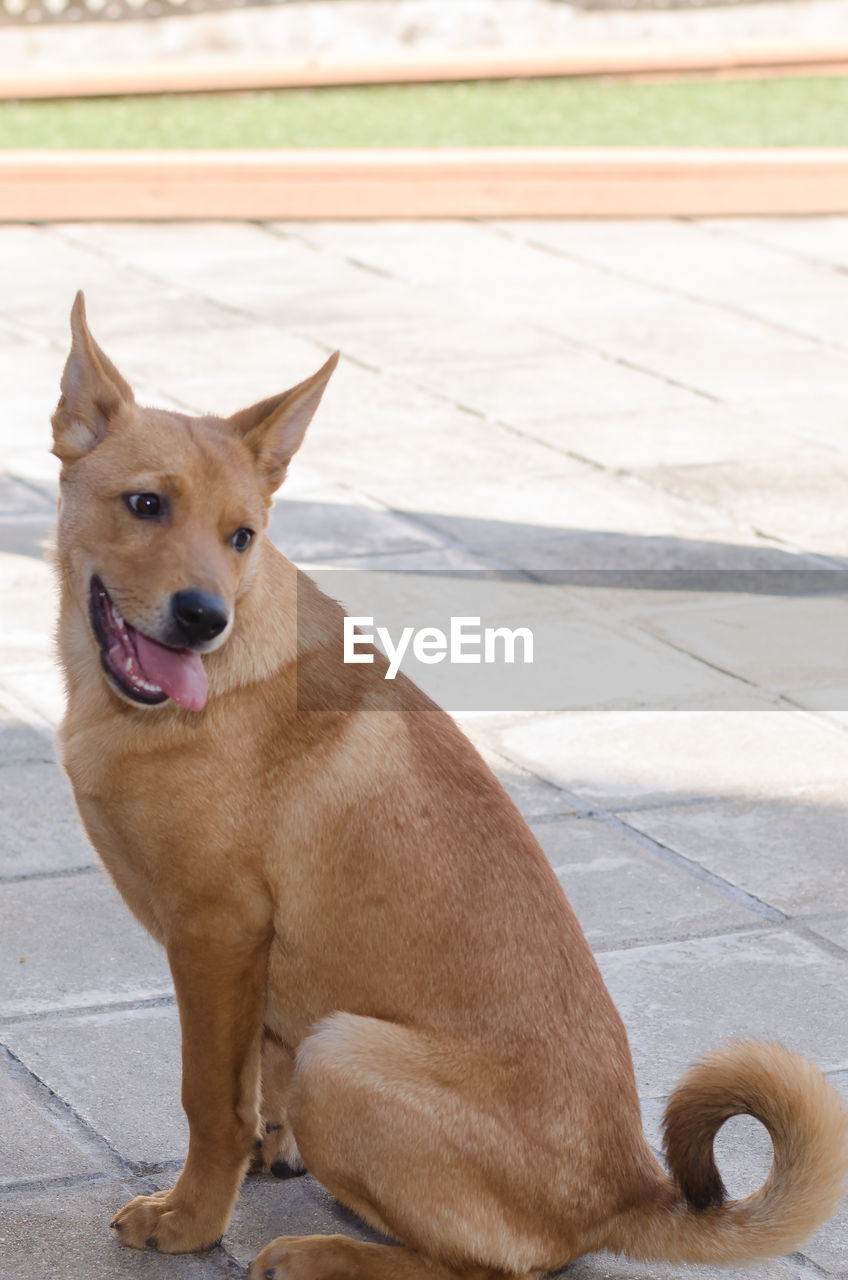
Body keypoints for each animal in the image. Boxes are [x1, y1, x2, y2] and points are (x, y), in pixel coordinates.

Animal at [53, 293, 848, 1280]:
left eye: (243, 536)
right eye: (145, 505)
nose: (205, 620)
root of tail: (629, 1190)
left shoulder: (215, 932)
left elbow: (210, 1101)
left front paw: (191, 1220)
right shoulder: (256, 970)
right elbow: (256, 1079)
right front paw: (272, 1152)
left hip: (341, 1053)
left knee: (492, 1268)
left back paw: (324, 1253)